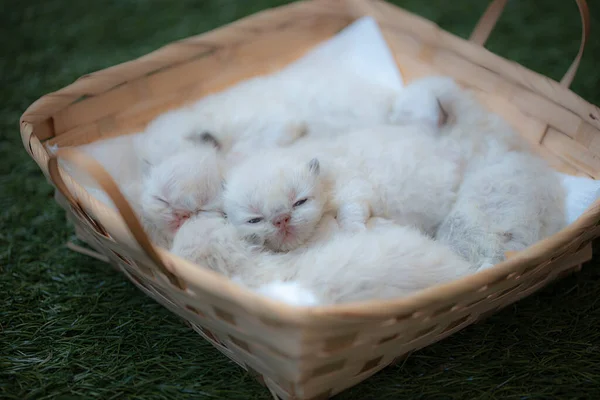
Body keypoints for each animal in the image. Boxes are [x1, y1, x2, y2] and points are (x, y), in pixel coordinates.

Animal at [223, 123, 462, 252]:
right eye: (254, 219)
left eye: (300, 201)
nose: (281, 219)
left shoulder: (354, 186)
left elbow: (351, 210)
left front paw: (353, 232)